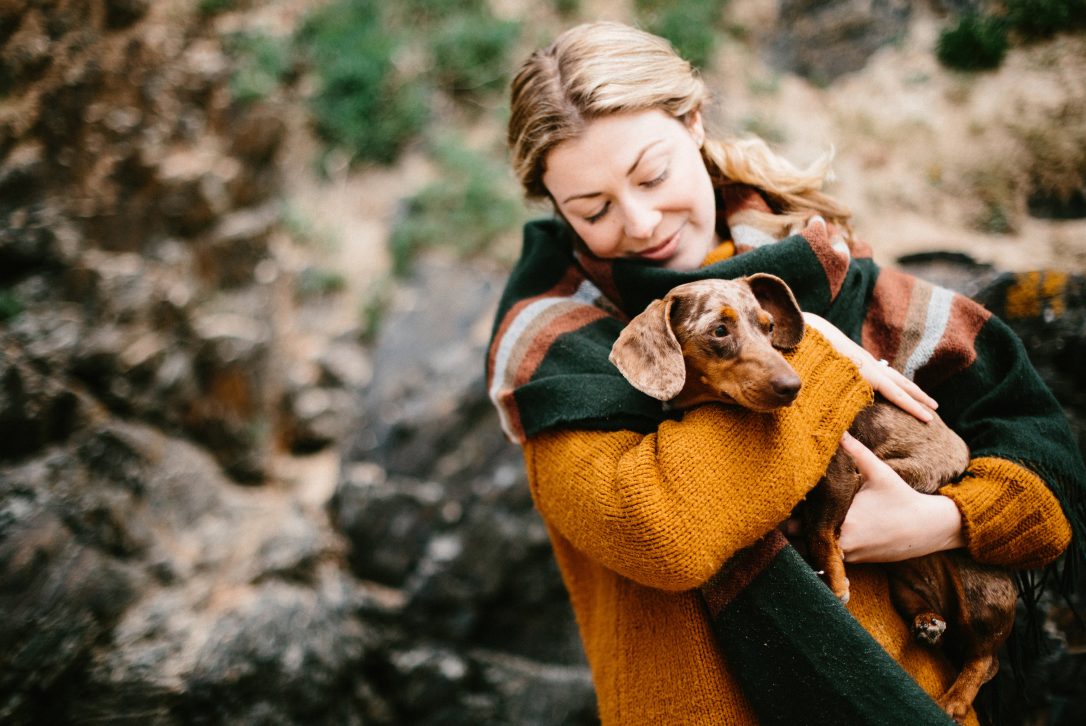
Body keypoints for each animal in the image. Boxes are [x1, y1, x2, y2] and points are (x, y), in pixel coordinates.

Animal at [612, 274, 1016, 720]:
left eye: (769, 327)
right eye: (719, 330)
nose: (794, 387)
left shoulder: (841, 469)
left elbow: (820, 528)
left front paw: (835, 582)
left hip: (981, 595)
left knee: (986, 660)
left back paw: (956, 699)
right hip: (906, 587)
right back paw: (929, 622)